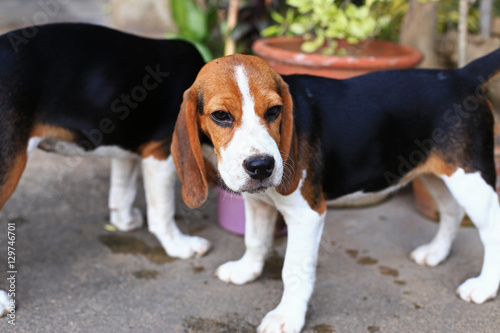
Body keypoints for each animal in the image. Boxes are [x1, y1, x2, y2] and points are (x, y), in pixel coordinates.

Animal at [0, 22, 209, 314]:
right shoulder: (161, 152)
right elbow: (162, 211)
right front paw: (177, 245)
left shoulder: (128, 151)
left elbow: (122, 192)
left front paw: (124, 222)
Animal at [171, 53, 500, 330]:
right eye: (221, 116)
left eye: (275, 111)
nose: (262, 166)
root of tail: (461, 74)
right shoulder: (257, 202)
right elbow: (255, 240)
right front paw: (247, 270)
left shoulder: (307, 215)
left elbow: (294, 271)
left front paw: (287, 316)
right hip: (434, 171)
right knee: (451, 210)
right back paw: (436, 252)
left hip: (470, 177)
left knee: (491, 229)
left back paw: (484, 286)